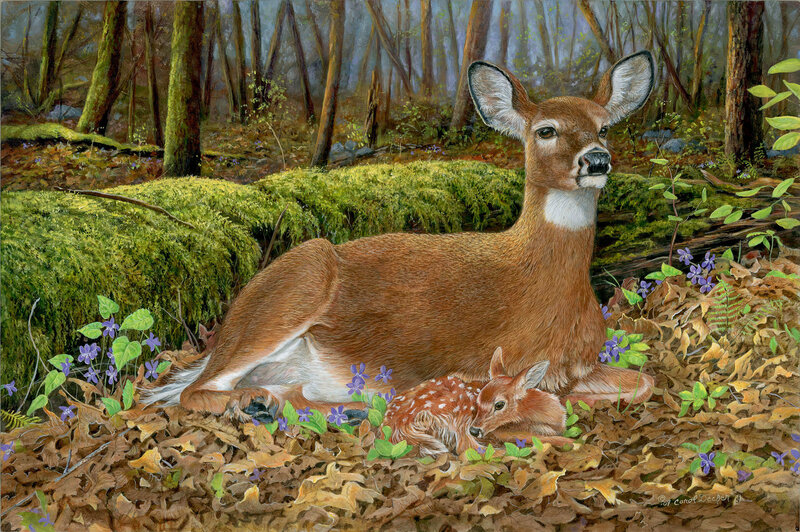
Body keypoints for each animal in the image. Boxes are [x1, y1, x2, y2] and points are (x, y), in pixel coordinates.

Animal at [142, 51, 656, 422]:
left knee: (276, 388)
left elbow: (643, 383)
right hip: (298, 279)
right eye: (546, 130)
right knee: (192, 390)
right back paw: (260, 404)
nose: (597, 159)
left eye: (605, 128)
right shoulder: (482, 363)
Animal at [382, 347, 567, 455]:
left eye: (499, 404)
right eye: (477, 401)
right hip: (456, 408)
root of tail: (395, 424)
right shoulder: (504, 431)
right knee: (466, 448)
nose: (475, 430)